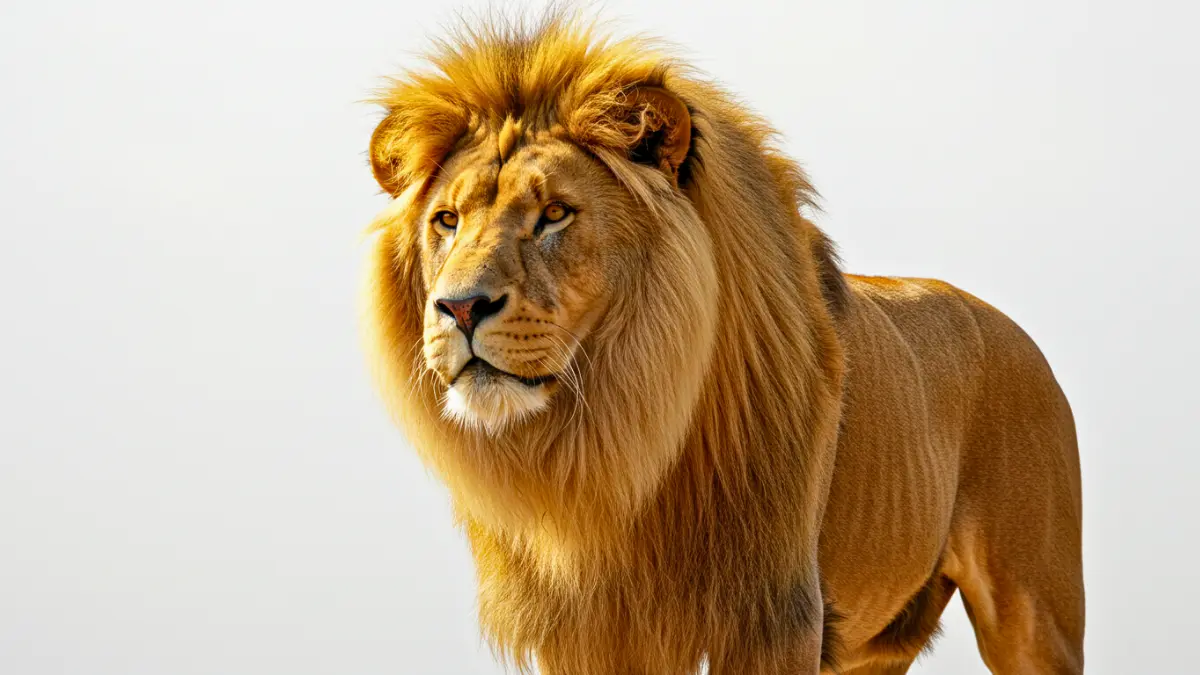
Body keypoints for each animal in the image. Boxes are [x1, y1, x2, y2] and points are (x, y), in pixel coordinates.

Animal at [360, 13, 1084, 675]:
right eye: (447, 221)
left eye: (555, 214)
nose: (459, 307)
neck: (613, 445)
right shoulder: (592, 632)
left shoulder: (774, 615)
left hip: (1032, 611)